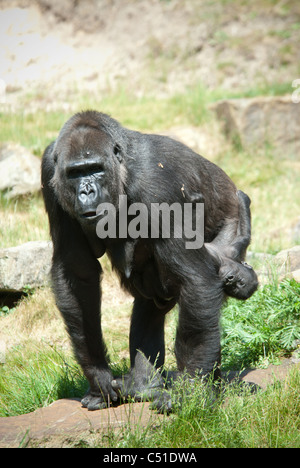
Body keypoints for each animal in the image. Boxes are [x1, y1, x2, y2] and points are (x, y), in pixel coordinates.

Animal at [41, 111, 258, 412]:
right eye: (75, 173)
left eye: (95, 168)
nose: (86, 192)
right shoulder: (49, 169)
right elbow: (78, 275)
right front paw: (98, 378)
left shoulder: (157, 186)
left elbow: (197, 279)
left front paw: (192, 394)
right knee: (151, 302)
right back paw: (144, 384)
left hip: (234, 219)